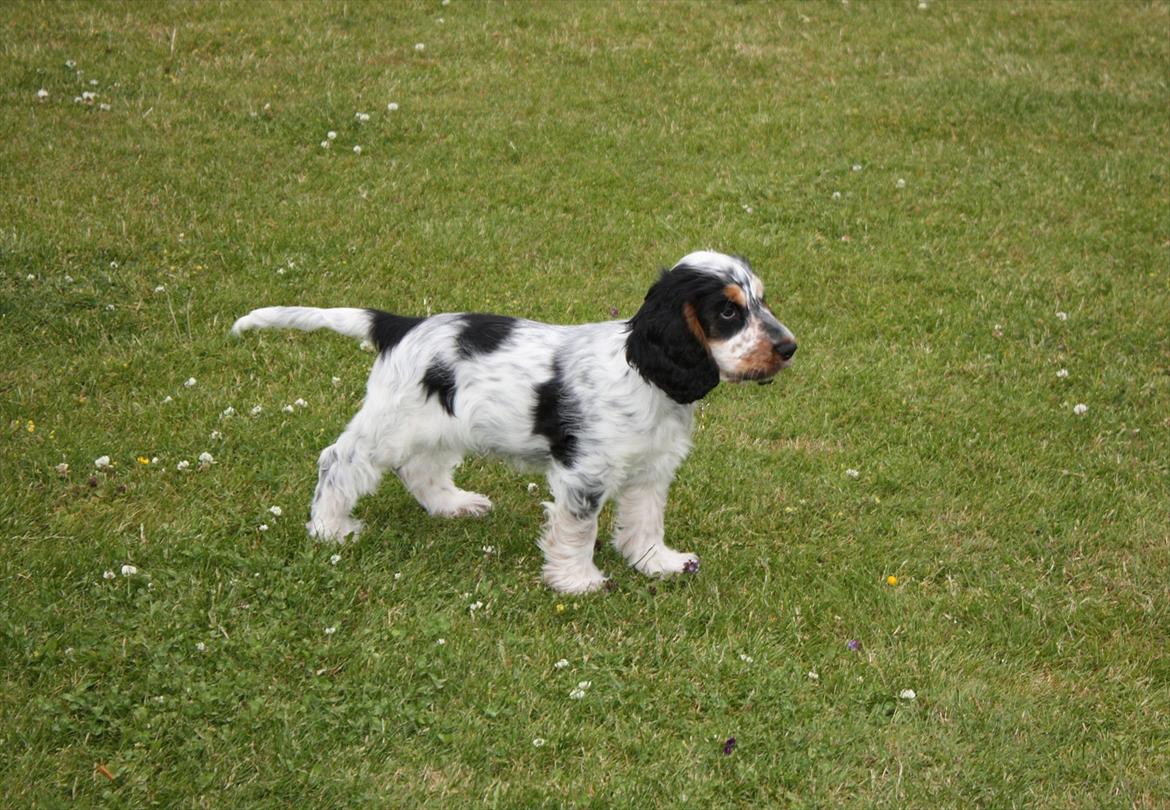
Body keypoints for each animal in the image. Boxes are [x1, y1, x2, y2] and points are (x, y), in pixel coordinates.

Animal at [228, 251, 795, 594]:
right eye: (728, 313)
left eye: (762, 301)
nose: (789, 347)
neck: (649, 379)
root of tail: (400, 326)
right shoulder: (584, 474)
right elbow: (578, 530)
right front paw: (578, 580)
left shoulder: (651, 470)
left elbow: (645, 522)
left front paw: (658, 563)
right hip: (390, 425)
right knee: (338, 461)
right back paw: (329, 528)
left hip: (440, 424)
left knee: (421, 471)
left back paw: (453, 505)